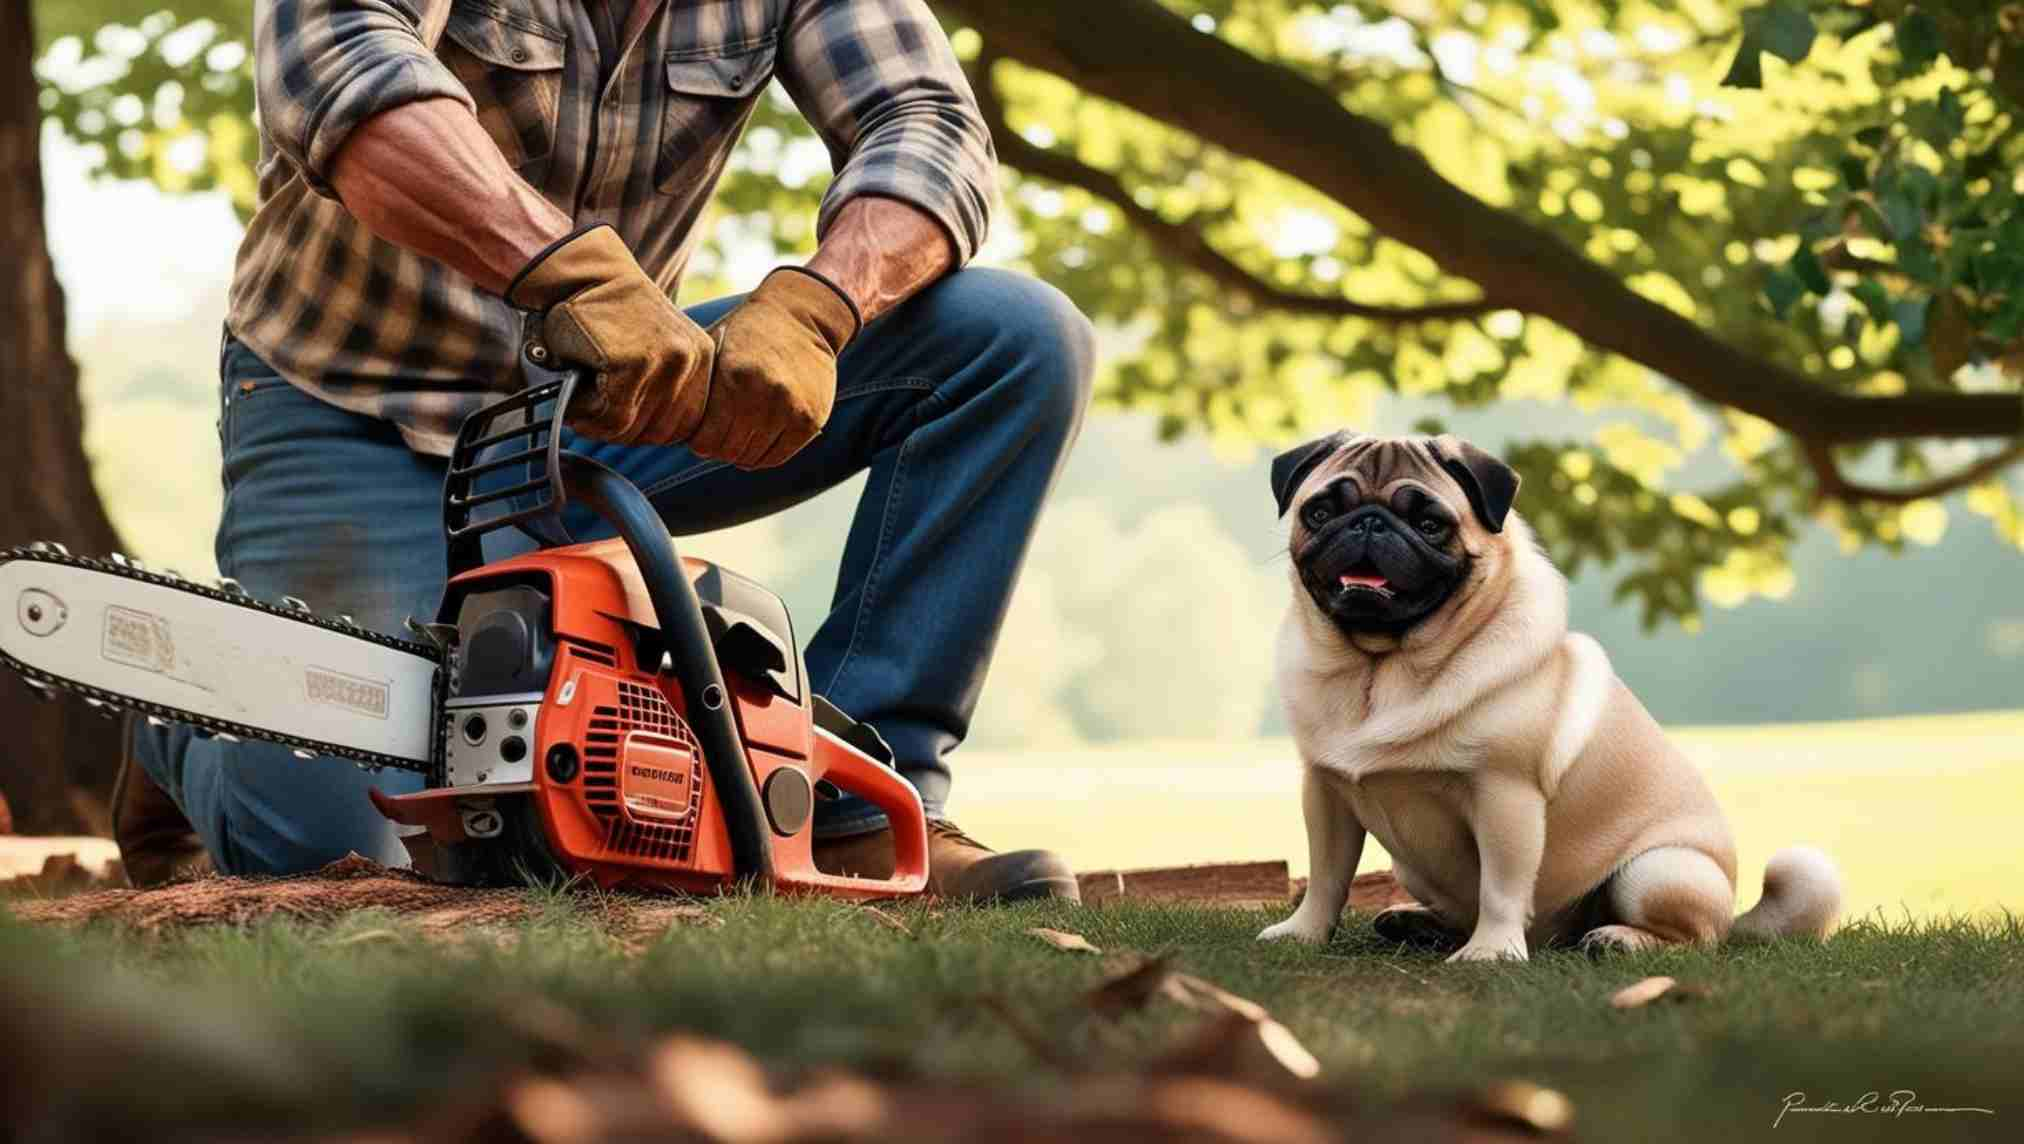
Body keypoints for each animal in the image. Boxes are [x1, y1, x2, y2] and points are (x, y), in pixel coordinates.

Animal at [1246, 433, 1837, 959]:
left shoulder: (1505, 795)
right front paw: (1305, 933)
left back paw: (1619, 939)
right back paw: (1419, 924)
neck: (1380, 668)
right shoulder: (1326, 790)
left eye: (1430, 525)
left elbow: (1501, 885)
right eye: (1320, 512)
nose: (1368, 521)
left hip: (1657, 870)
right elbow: (1327, 875)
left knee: (1696, 939)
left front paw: (1492, 952)